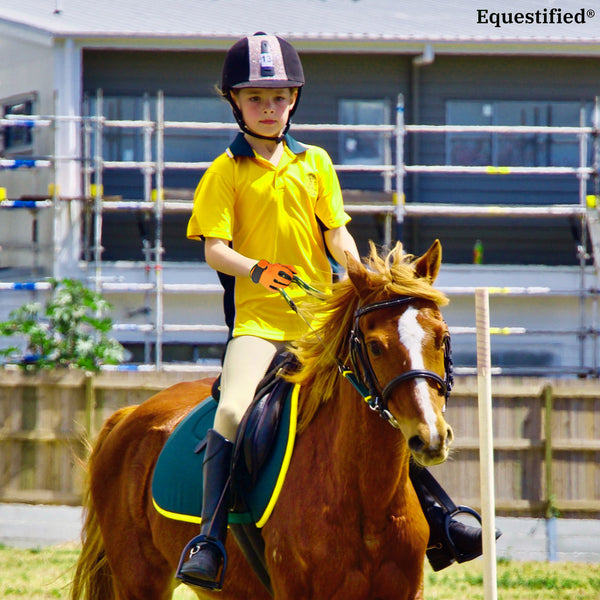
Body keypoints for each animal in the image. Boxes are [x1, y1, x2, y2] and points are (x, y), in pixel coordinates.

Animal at [70, 239, 452, 600]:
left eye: (443, 337)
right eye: (375, 347)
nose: (430, 437)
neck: (367, 503)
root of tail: (128, 415)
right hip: (139, 581)